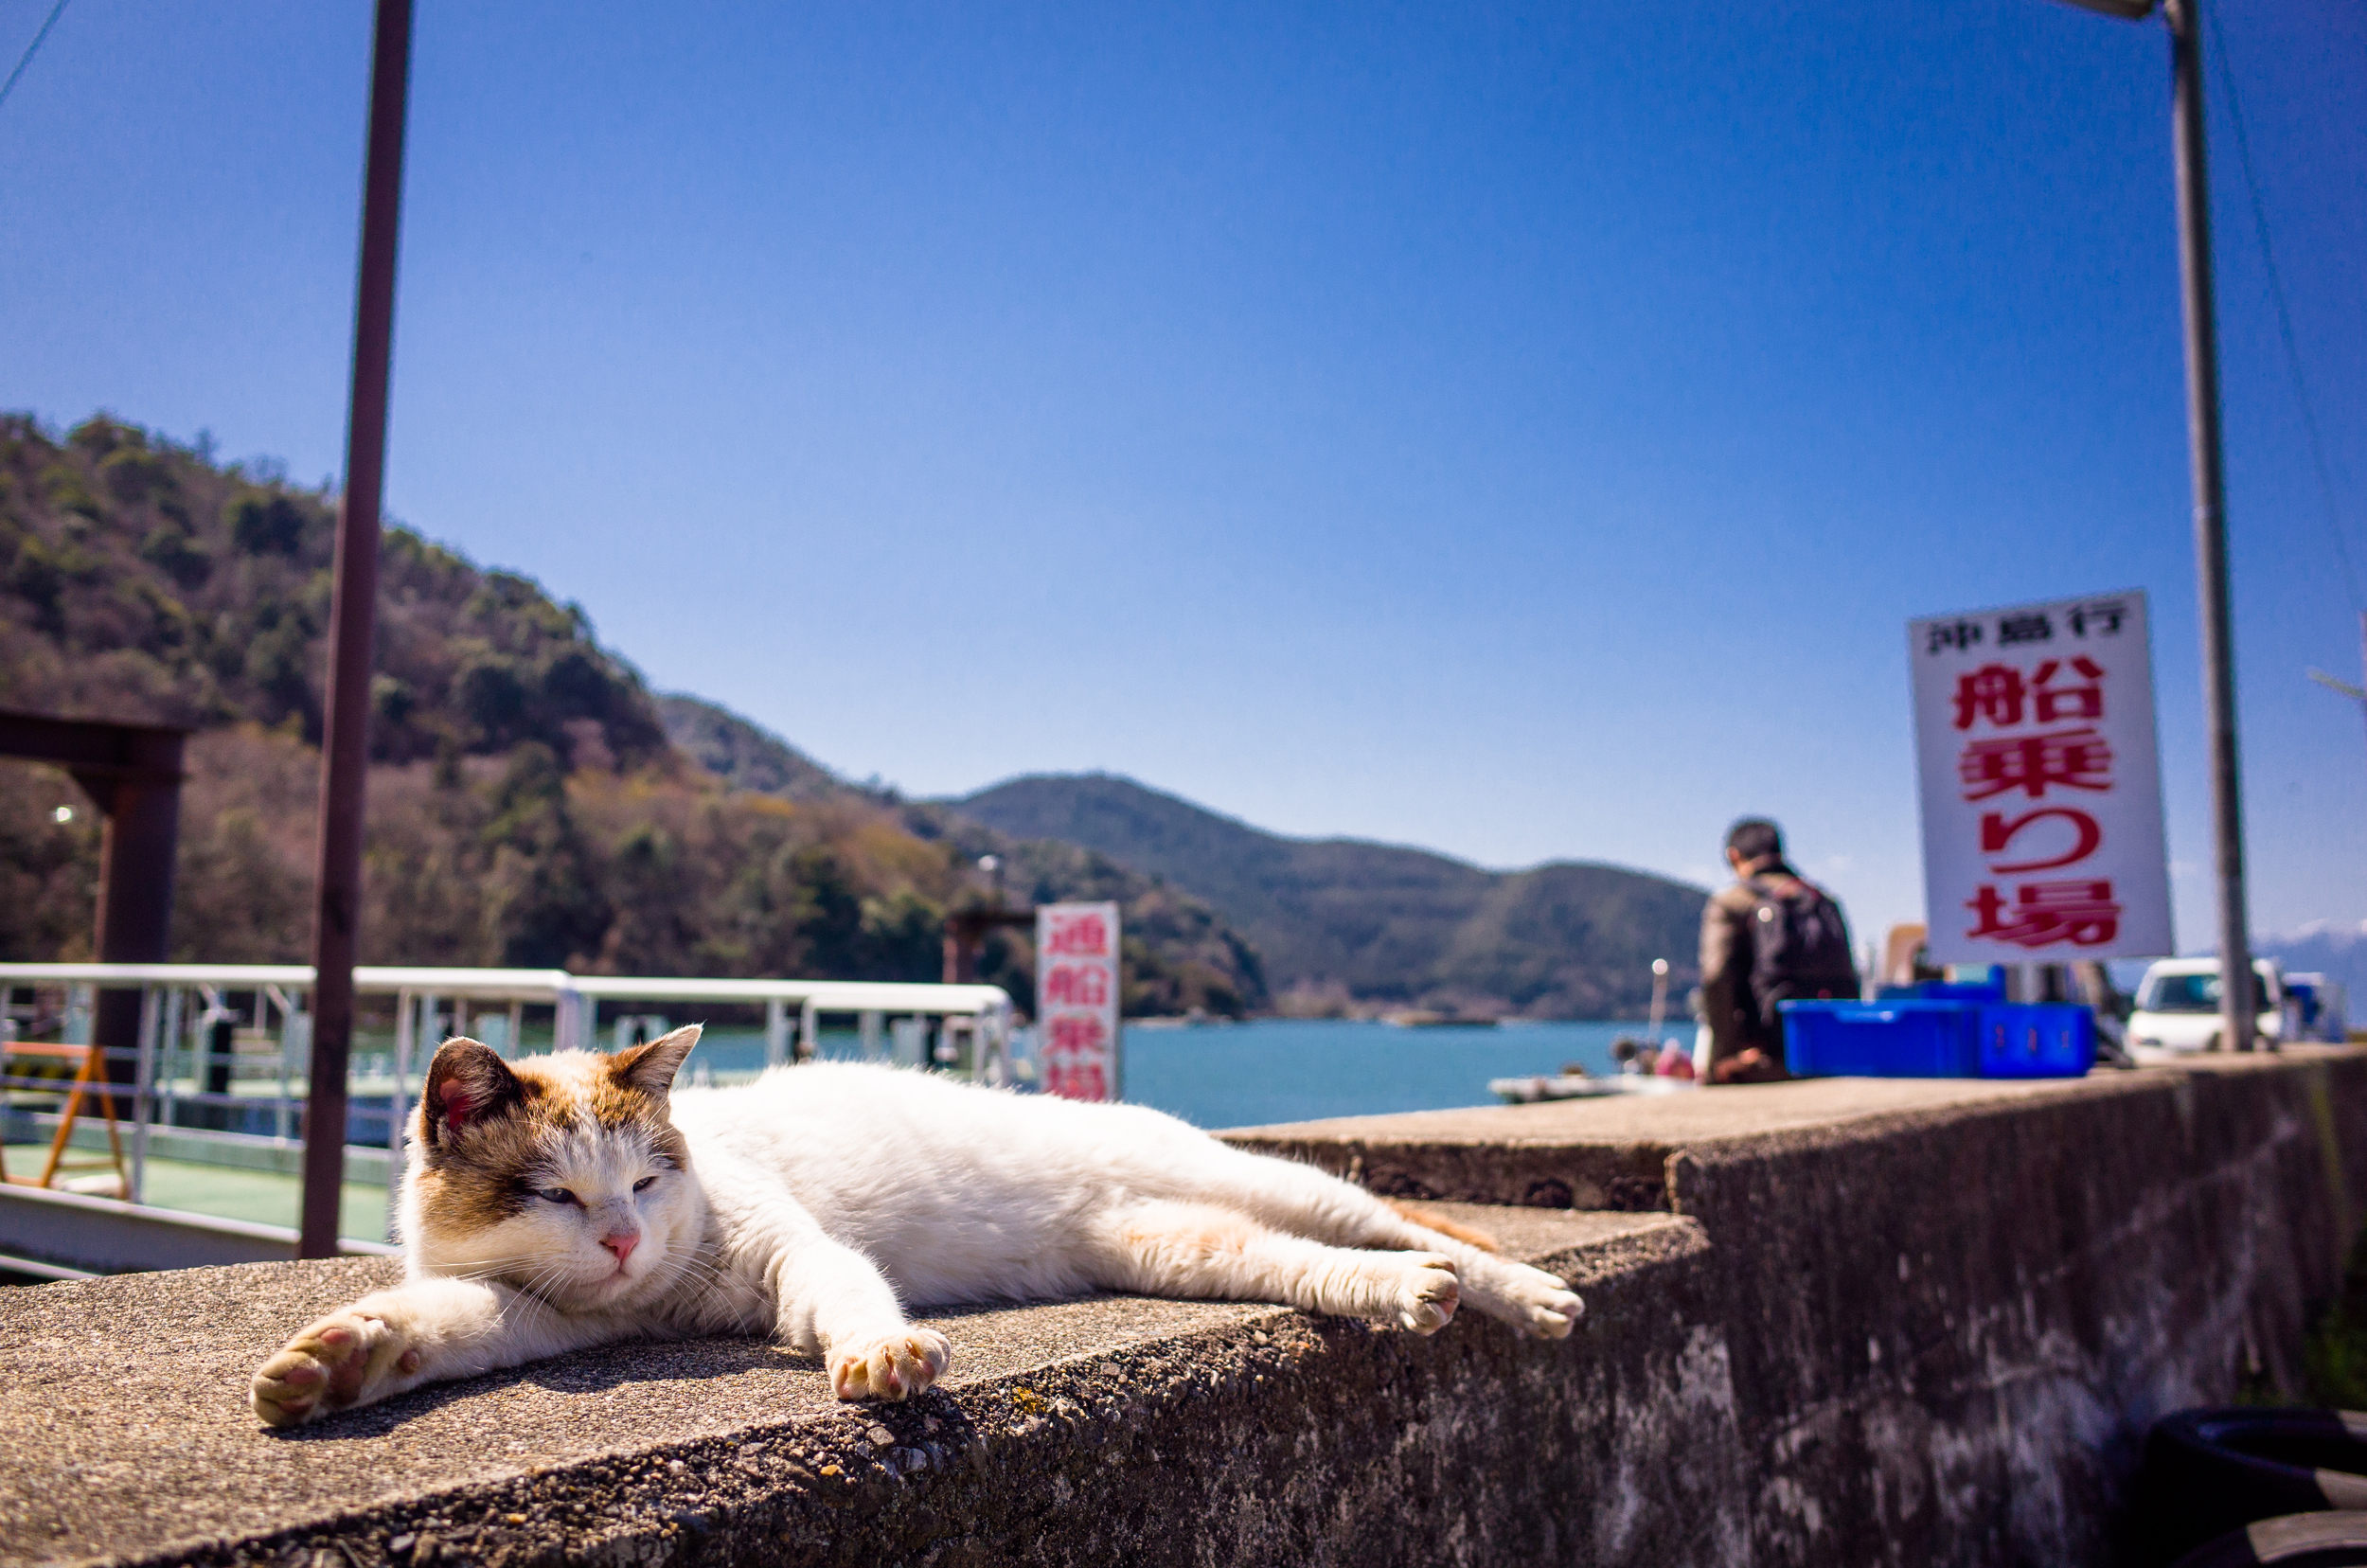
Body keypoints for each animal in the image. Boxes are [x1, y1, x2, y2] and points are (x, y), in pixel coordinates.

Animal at [254, 1027, 1591, 1430]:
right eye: (555, 1197)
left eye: (645, 1179)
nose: (627, 1240)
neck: (651, 1296)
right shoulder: (540, 1315)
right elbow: (447, 1322)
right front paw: (332, 1366)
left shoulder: (788, 1247)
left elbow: (848, 1290)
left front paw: (882, 1357)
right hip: (1188, 1246)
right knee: (1335, 1269)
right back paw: (1408, 1296)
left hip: (1274, 1187)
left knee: (1413, 1225)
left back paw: (1521, 1295)